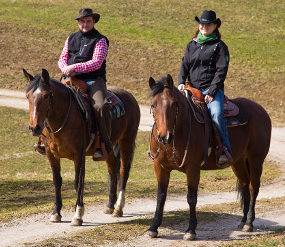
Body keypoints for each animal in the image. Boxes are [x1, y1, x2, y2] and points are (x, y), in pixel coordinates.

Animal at [23, 69, 140, 226]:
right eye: (27, 96)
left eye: (46, 95)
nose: (34, 127)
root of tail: (130, 96)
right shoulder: (51, 154)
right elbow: (57, 180)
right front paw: (56, 213)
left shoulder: (79, 154)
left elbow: (78, 181)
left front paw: (78, 214)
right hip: (109, 149)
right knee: (112, 169)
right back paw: (110, 205)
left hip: (126, 141)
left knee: (124, 171)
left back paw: (118, 208)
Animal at [146, 74, 270, 240]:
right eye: (153, 105)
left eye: (173, 104)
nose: (164, 137)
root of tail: (261, 110)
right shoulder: (160, 167)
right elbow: (161, 196)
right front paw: (153, 228)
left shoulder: (193, 168)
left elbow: (191, 198)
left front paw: (191, 230)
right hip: (238, 162)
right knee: (244, 185)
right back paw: (243, 221)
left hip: (256, 160)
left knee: (253, 187)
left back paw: (249, 223)